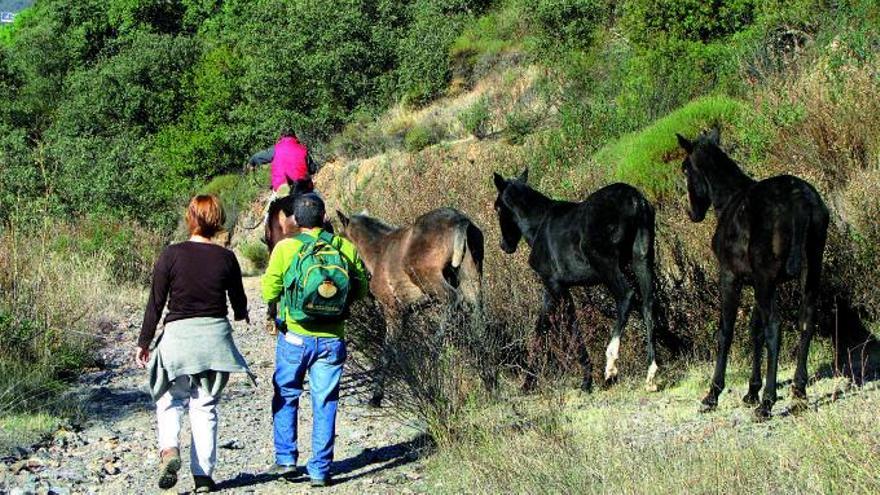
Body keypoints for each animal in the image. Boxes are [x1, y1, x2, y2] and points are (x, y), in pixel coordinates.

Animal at [336, 207, 484, 408]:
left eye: (339, 239)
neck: (378, 251)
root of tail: (460, 219)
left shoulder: (392, 310)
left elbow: (388, 350)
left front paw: (377, 396)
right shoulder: (406, 312)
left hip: (429, 277)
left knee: (453, 298)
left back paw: (434, 348)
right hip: (472, 280)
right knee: (478, 320)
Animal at [492, 169, 656, 394]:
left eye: (497, 207)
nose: (505, 245)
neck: (537, 227)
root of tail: (636, 200)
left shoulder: (557, 285)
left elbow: (572, 328)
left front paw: (586, 380)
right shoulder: (550, 287)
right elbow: (541, 328)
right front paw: (527, 383)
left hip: (605, 263)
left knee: (626, 297)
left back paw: (611, 365)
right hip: (642, 257)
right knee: (648, 304)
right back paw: (651, 373)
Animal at [676, 128, 828, 418]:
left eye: (685, 169)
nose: (691, 211)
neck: (728, 201)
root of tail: (800, 201)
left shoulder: (731, 277)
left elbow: (726, 331)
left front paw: (713, 394)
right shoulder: (758, 283)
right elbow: (754, 329)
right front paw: (751, 391)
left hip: (767, 280)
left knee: (775, 328)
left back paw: (768, 402)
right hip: (810, 270)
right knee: (806, 321)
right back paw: (798, 393)